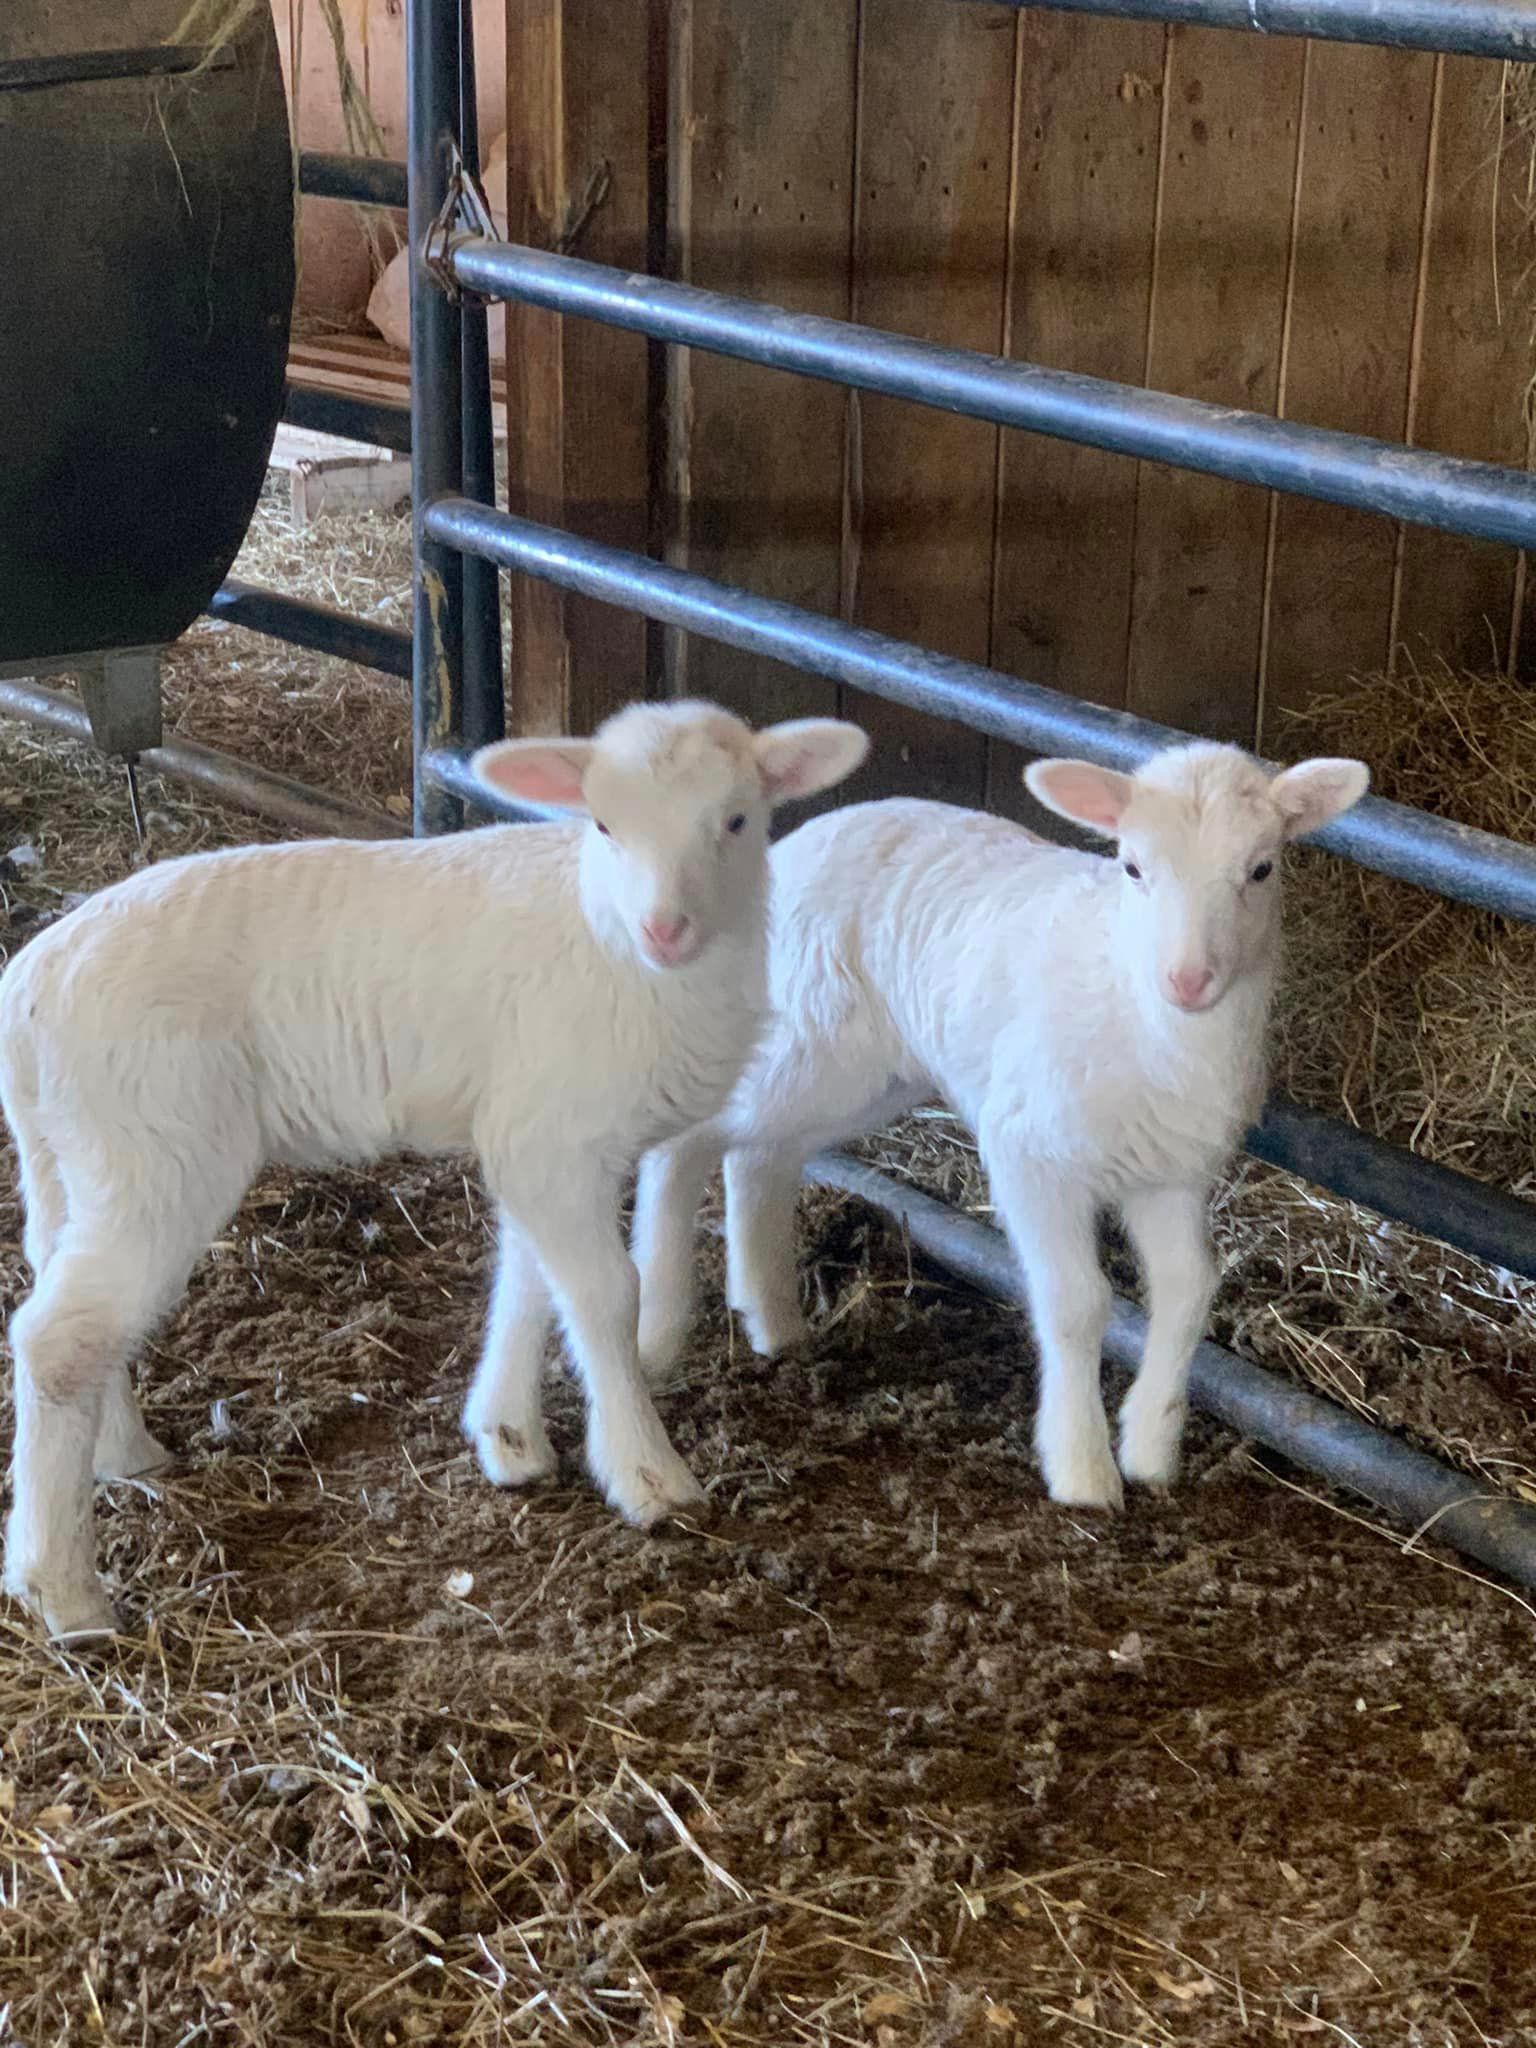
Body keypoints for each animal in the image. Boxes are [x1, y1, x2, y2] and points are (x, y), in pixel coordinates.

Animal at [0, 698, 870, 1641]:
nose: (664, 930)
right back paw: (66, 1592)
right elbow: (606, 1294)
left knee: (68, 1301)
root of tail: (29, 984)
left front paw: (509, 1436)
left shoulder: (531, 1137)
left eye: (737, 821)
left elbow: (530, 1281)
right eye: (603, 824)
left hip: (74, 1155)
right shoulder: (556, 1134)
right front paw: (648, 1476)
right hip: (156, 1145)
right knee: (56, 1339)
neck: (610, 940)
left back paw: (124, 1456)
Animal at [632, 741, 1369, 1512]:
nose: (1188, 981)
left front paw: (1152, 1447)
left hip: (864, 1073)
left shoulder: (1168, 1172)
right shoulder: (1029, 1153)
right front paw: (1082, 1470)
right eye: (1133, 867)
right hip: (805, 1027)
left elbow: (1189, 1289)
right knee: (689, 1139)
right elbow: (1078, 1303)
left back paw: (773, 1321)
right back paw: (658, 1329)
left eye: (1261, 869)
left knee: (760, 1157)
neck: (1137, 1007)